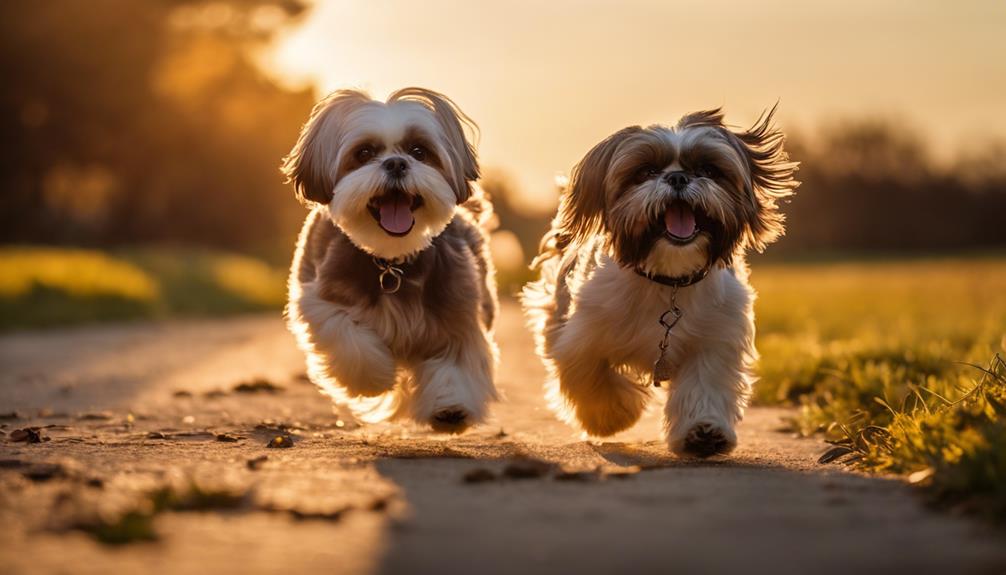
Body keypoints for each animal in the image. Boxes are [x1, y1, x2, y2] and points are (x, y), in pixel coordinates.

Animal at [283, 88, 498, 430]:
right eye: (364, 152)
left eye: (419, 151)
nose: (396, 163)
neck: (392, 261)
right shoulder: (320, 302)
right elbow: (349, 338)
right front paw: (373, 379)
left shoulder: (458, 311)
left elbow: (455, 359)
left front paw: (450, 405)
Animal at [523, 107, 796, 456]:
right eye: (645, 172)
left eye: (708, 169)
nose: (678, 177)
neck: (668, 281)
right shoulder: (582, 335)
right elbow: (591, 374)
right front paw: (611, 415)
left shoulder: (715, 338)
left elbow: (704, 384)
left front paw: (703, 432)